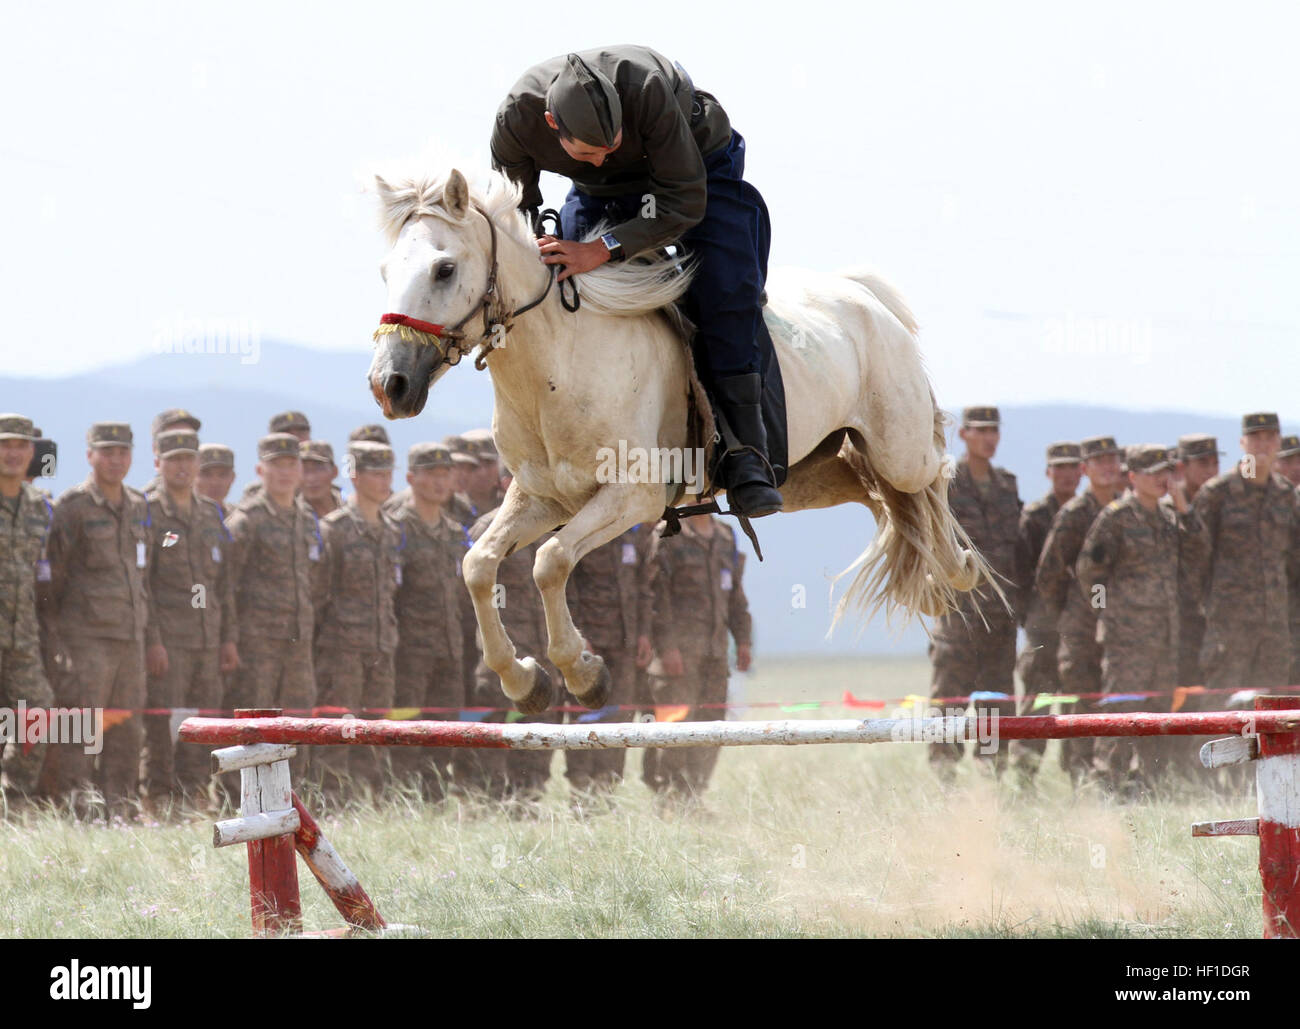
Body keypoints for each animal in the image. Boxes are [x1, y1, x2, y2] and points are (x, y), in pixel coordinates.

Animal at [366, 166, 982, 717]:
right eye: (385, 270)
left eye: (444, 269)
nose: (388, 384)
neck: (560, 362)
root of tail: (864, 295)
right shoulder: (543, 498)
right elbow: (479, 565)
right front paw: (525, 680)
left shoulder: (632, 498)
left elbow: (550, 561)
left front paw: (583, 674)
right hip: (813, 476)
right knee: (882, 499)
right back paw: (932, 575)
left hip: (897, 448)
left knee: (930, 476)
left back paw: (957, 567)